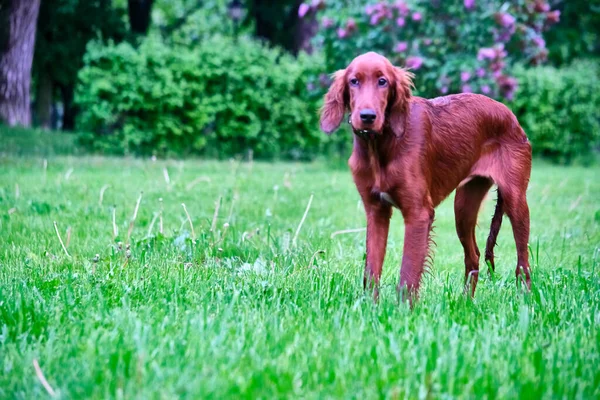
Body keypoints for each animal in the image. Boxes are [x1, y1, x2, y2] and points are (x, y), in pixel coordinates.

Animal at [322, 52, 532, 300]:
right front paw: (369, 307)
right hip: (463, 207)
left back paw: (525, 300)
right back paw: (465, 303)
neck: (380, 144)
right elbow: (371, 272)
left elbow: (408, 275)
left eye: (383, 81)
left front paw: (403, 310)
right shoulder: (376, 212)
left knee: (523, 262)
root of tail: (510, 115)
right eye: (354, 81)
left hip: (515, 200)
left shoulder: (419, 214)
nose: (367, 116)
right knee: (473, 257)